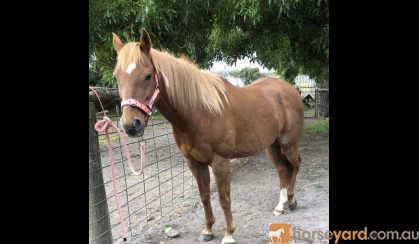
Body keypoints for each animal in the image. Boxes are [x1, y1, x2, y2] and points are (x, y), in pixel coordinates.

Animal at [113, 29, 304, 243]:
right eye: (116, 77)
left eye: (147, 76)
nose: (131, 125)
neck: (200, 112)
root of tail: (290, 90)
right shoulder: (195, 163)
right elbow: (204, 196)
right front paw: (208, 230)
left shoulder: (220, 162)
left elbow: (224, 198)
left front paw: (229, 233)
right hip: (272, 146)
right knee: (282, 170)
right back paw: (280, 206)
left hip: (288, 143)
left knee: (295, 165)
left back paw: (292, 201)